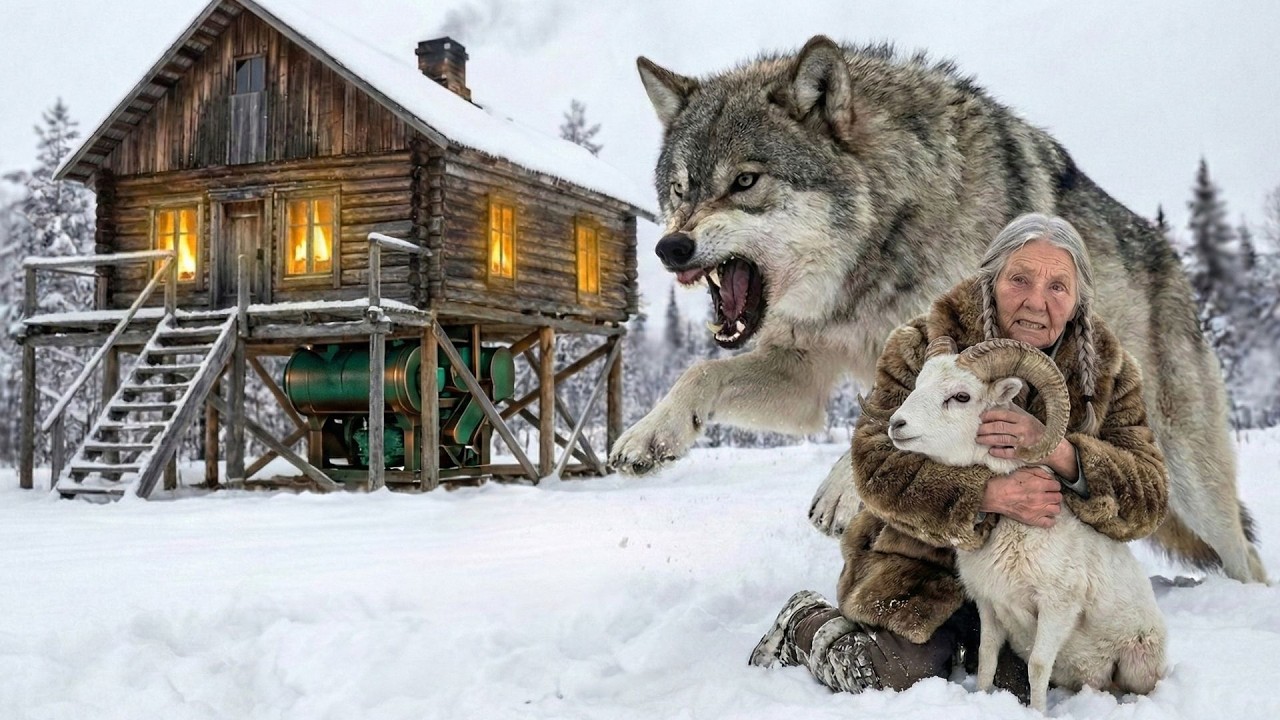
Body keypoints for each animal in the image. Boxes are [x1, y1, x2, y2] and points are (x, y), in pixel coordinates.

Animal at [610, 35, 1268, 583]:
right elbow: (701, 372)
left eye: (745, 181)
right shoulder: (804, 374)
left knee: (1246, 554)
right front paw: (649, 434)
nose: (670, 248)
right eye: (680, 190)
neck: (873, 258)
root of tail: (1175, 263)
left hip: (1192, 479)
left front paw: (843, 489)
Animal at [887, 336, 1166, 712]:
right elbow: (987, 656)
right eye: (919, 385)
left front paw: (1036, 711)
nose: (896, 425)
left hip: (1139, 663)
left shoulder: (1056, 608)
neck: (1017, 533)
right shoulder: (990, 606)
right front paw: (982, 699)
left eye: (961, 396)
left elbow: (1038, 665)